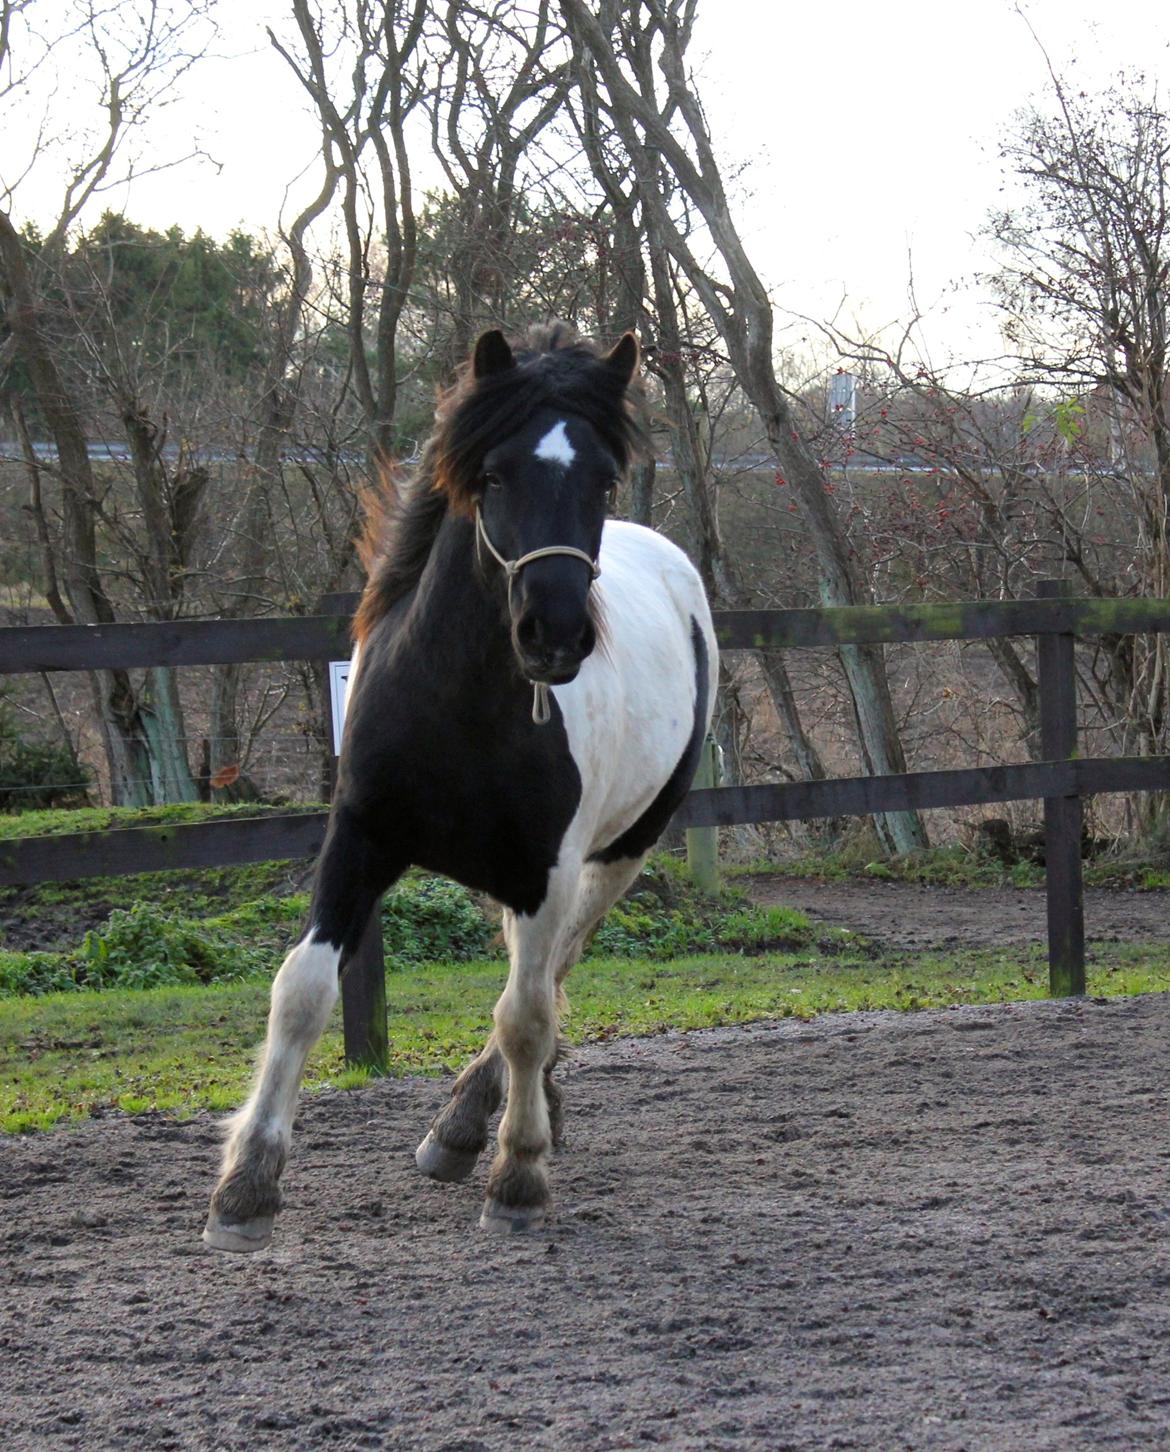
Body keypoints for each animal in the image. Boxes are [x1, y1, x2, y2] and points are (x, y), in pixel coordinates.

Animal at [206, 320, 720, 1248]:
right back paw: (473, 1123)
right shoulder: (362, 839)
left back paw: (479, 1125)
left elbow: (526, 1016)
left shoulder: (547, 870)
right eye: (494, 473)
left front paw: (517, 1176)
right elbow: (301, 993)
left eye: (602, 476)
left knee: (548, 978)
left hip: (618, 854)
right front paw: (245, 1190)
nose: (554, 632)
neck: (458, 709)